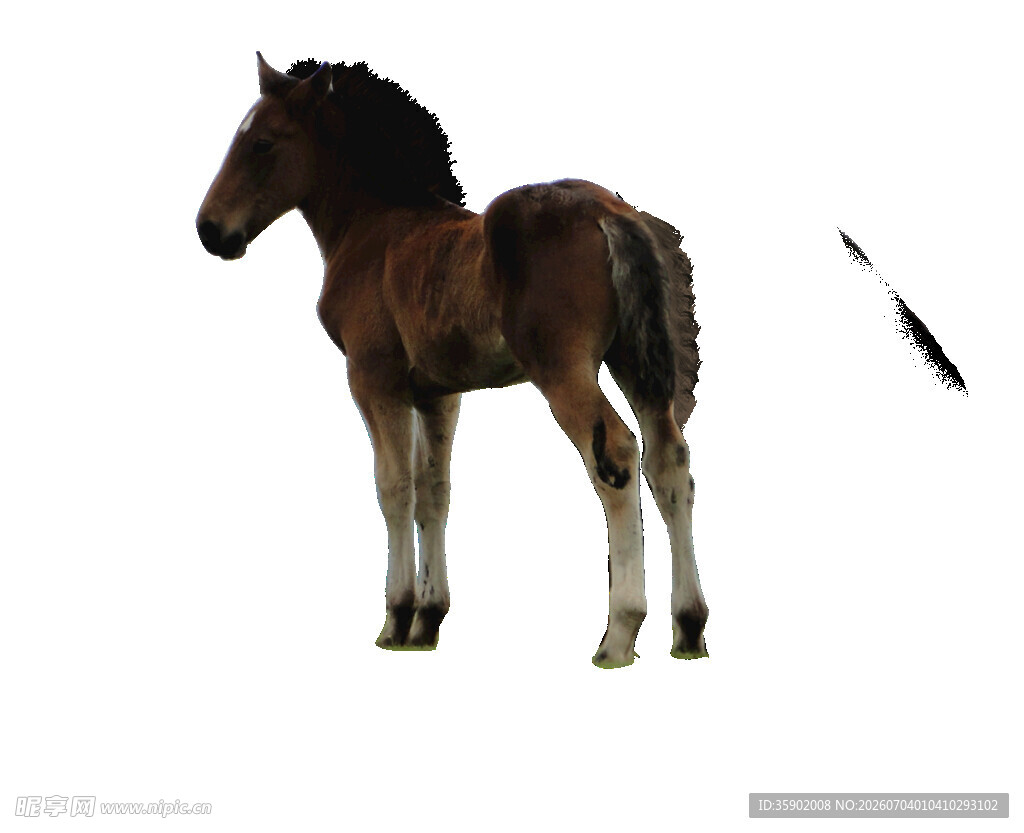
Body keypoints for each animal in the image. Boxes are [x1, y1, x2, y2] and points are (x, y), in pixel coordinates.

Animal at [196, 53, 707, 667]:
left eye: (263, 143)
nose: (209, 230)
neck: (372, 227)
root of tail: (610, 213)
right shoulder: (438, 394)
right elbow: (433, 492)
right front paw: (427, 621)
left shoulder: (374, 380)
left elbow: (394, 490)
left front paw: (396, 618)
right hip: (633, 359)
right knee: (669, 461)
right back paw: (689, 627)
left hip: (563, 368)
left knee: (617, 455)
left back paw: (618, 634)